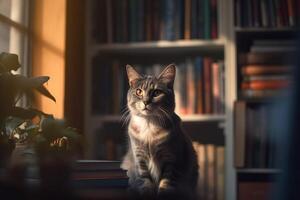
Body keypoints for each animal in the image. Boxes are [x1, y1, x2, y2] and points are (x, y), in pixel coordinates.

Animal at [120, 64, 198, 200]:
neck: (149, 126)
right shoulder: (140, 160)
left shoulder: (172, 161)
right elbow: (145, 182)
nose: (146, 101)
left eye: (157, 92)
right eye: (139, 91)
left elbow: (165, 186)